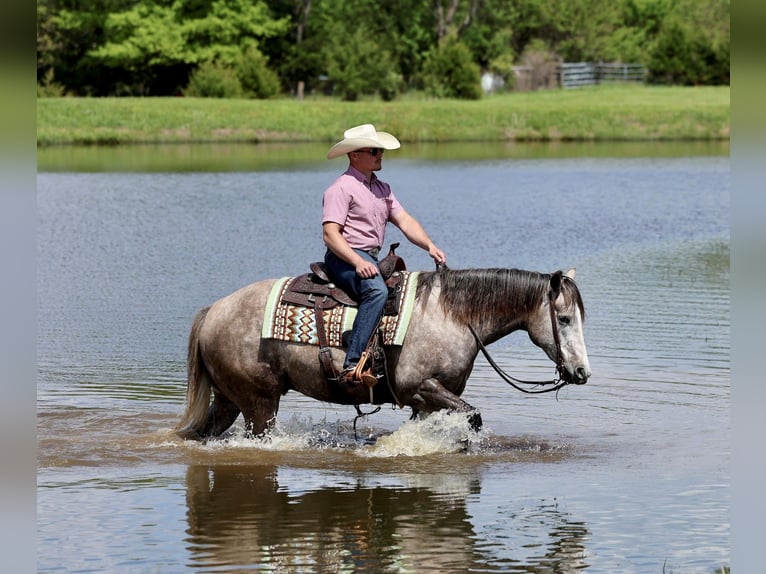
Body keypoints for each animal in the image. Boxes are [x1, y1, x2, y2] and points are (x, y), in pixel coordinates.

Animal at [175, 266, 591, 440]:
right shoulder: (421, 388)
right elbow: (473, 417)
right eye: (565, 318)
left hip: (230, 399)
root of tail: (214, 310)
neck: (450, 315)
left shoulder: (431, 401)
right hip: (259, 404)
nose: (582, 372)